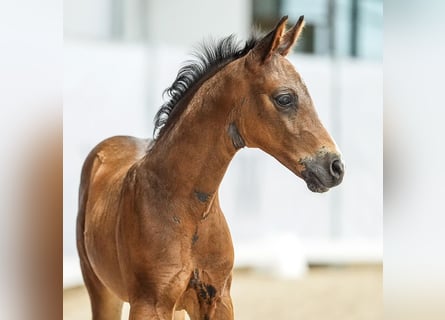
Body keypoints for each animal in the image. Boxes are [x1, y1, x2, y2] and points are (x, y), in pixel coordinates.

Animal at [76, 15, 344, 320]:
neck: (187, 210)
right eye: (284, 98)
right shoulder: (148, 304)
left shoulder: (218, 300)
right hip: (102, 290)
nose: (335, 166)